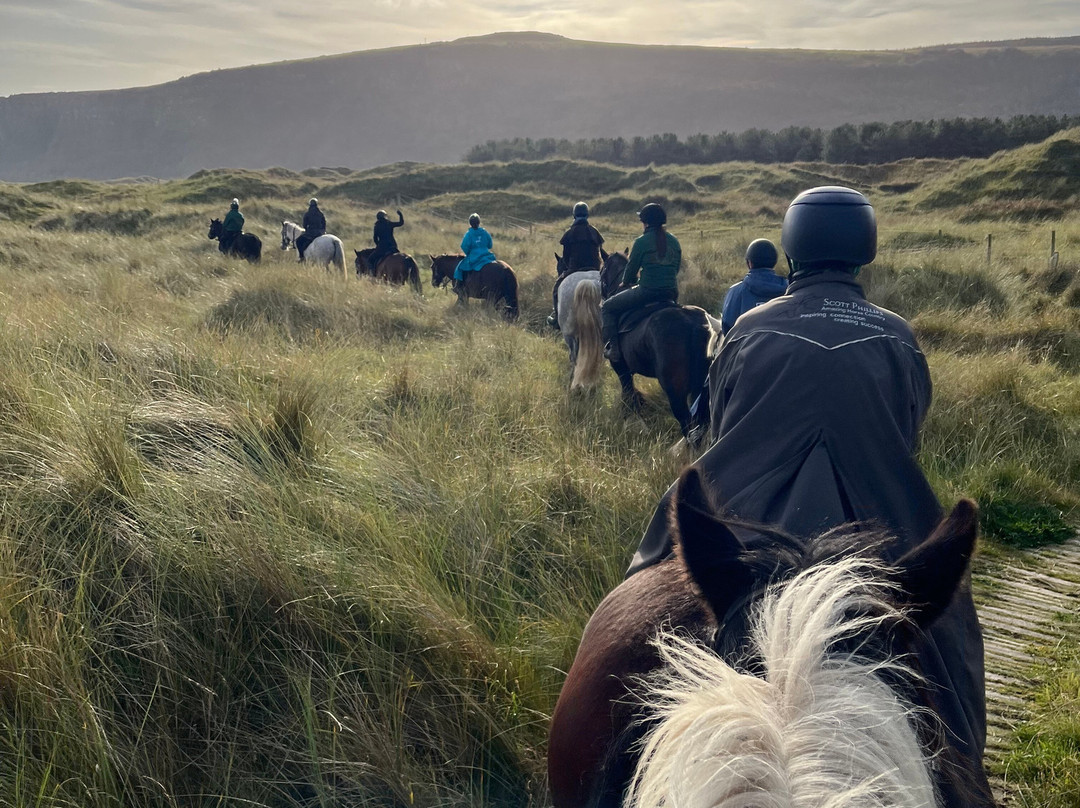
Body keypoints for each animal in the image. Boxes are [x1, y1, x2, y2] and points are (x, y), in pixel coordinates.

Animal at [600, 252, 717, 438]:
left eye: (602, 271)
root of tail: (695, 325)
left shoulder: (621, 369)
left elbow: (628, 395)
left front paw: (629, 420)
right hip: (702, 391)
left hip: (676, 393)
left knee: (688, 425)